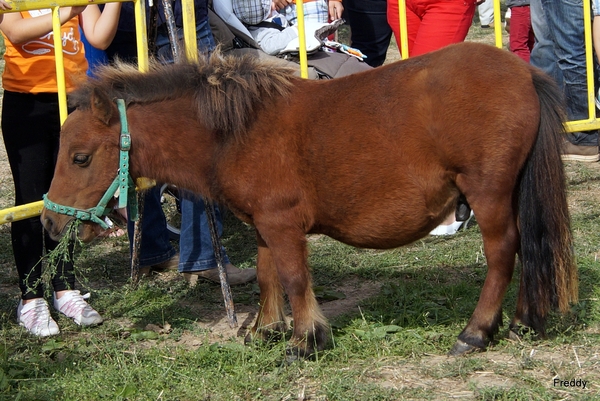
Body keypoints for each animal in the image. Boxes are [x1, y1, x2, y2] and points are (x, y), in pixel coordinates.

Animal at [41, 43, 576, 356]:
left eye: (81, 157)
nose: (49, 225)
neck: (236, 130)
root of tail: (524, 73)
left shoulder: (282, 224)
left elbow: (296, 278)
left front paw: (305, 339)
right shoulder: (263, 225)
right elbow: (267, 275)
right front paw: (266, 329)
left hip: (487, 193)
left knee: (504, 252)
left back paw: (476, 331)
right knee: (531, 248)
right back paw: (524, 321)